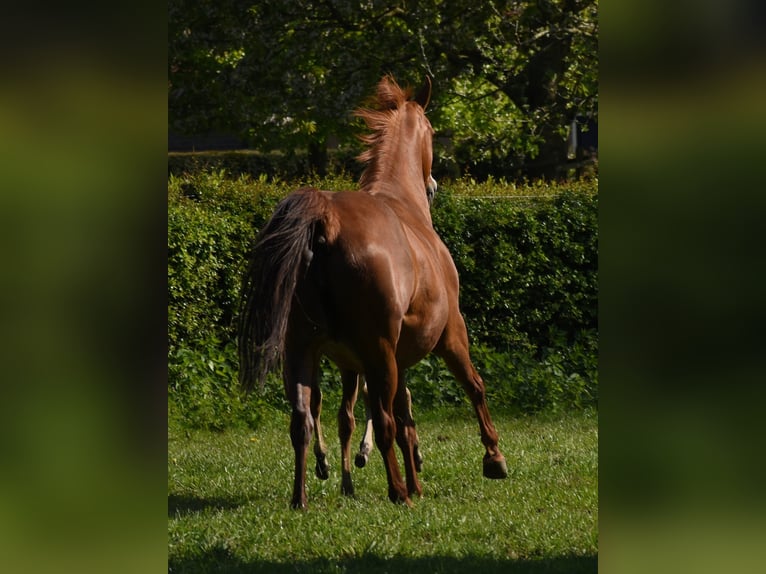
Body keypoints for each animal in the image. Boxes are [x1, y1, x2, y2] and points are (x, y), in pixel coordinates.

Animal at [238, 75, 507, 509]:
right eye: (433, 131)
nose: (433, 186)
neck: (403, 203)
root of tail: (325, 219)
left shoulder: (398, 357)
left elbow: (406, 419)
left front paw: (416, 478)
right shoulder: (451, 334)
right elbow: (474, 386)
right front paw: (493, 456)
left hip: (303, 351)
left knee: (303, 420)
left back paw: (302, 498)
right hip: (377, 353)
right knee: (380, 422)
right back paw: (398, 492)